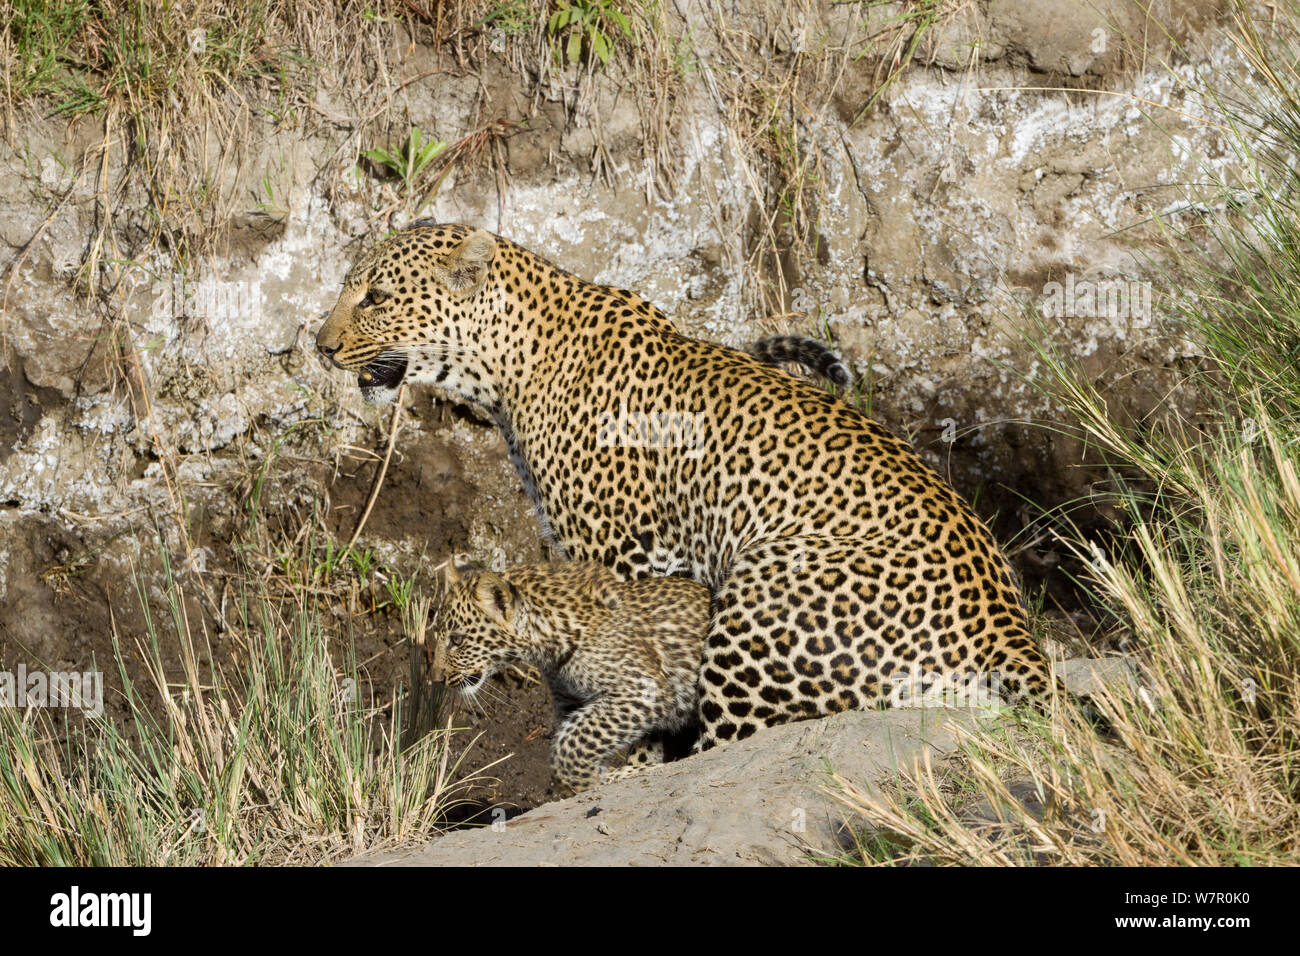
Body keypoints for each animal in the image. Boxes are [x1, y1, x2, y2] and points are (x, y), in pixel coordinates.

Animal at [317, 222, 1055, 749]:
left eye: (376, 298)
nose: (321, 347)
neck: (508, 367)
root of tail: (1012, 631)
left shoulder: (618, 554)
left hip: (758, 590)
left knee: (733, 736)